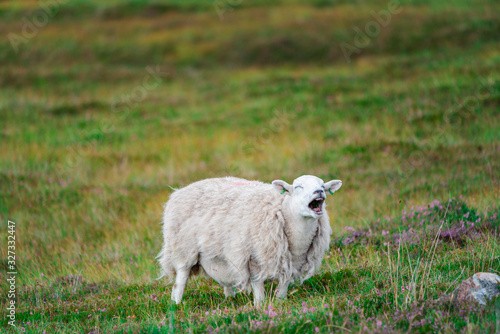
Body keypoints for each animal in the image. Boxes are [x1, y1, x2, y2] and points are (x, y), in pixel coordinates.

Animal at [157, 175, 344, 306]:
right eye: (298, 187)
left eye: (323, 186)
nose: (319, 192)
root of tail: (179, 191)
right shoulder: (253, 259)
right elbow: (258, 289)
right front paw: (260, 307)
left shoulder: (288, 264)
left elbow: (282, 289)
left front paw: (279, 303)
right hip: (183, 249)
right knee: (180, 280)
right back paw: (176, 304)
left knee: (227, 283)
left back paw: (229, 300)